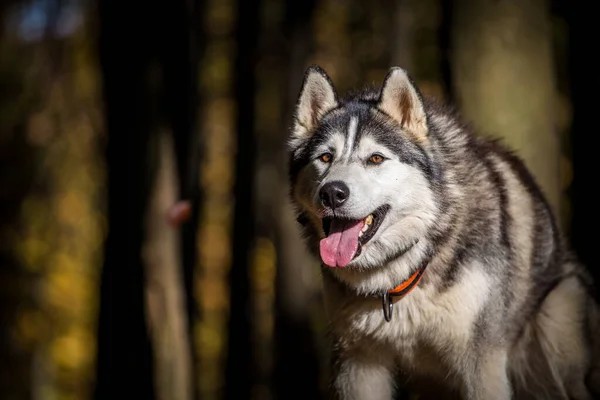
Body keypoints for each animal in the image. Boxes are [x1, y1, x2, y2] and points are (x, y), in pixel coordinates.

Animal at [288, 66, 600, 400]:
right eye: (325, 157)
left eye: (375, 158)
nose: (332, 193)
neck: (401, 276)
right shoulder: (358, 364)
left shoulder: (482, 361)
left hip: (559, 326)